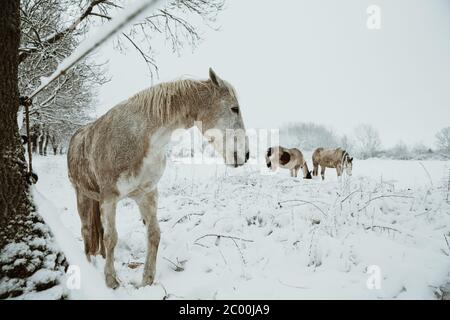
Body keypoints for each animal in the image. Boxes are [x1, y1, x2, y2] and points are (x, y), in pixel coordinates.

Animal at [67, 68, 250, 288]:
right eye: (234, 108)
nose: (246, 155)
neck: (137, 138)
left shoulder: (147, 194)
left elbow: (153, 234)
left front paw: (147, 279)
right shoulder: (109, 198)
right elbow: (112, 237)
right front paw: (111, 281)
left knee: (98, 233)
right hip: (82, 196)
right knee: (87, 231)